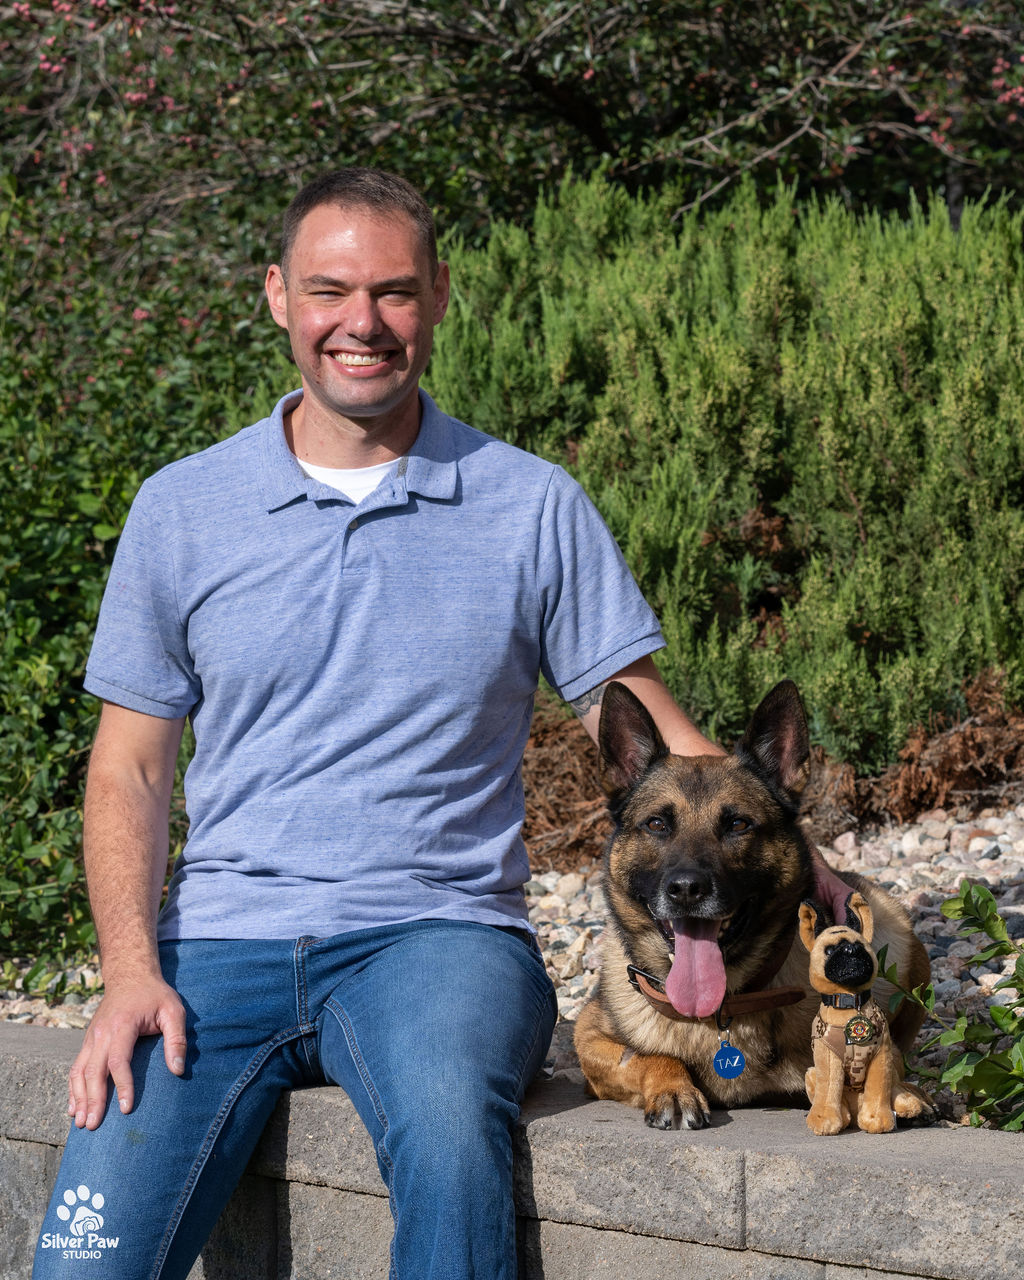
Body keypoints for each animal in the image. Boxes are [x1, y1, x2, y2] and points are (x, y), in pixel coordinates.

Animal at [573, 678, 934, 1129]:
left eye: (738, 824)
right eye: (656, 824)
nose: (687, 889)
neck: (720, 1009)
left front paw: (901, 1093)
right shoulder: (589, 1039)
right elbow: (644, 1056)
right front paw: (673, 1088)